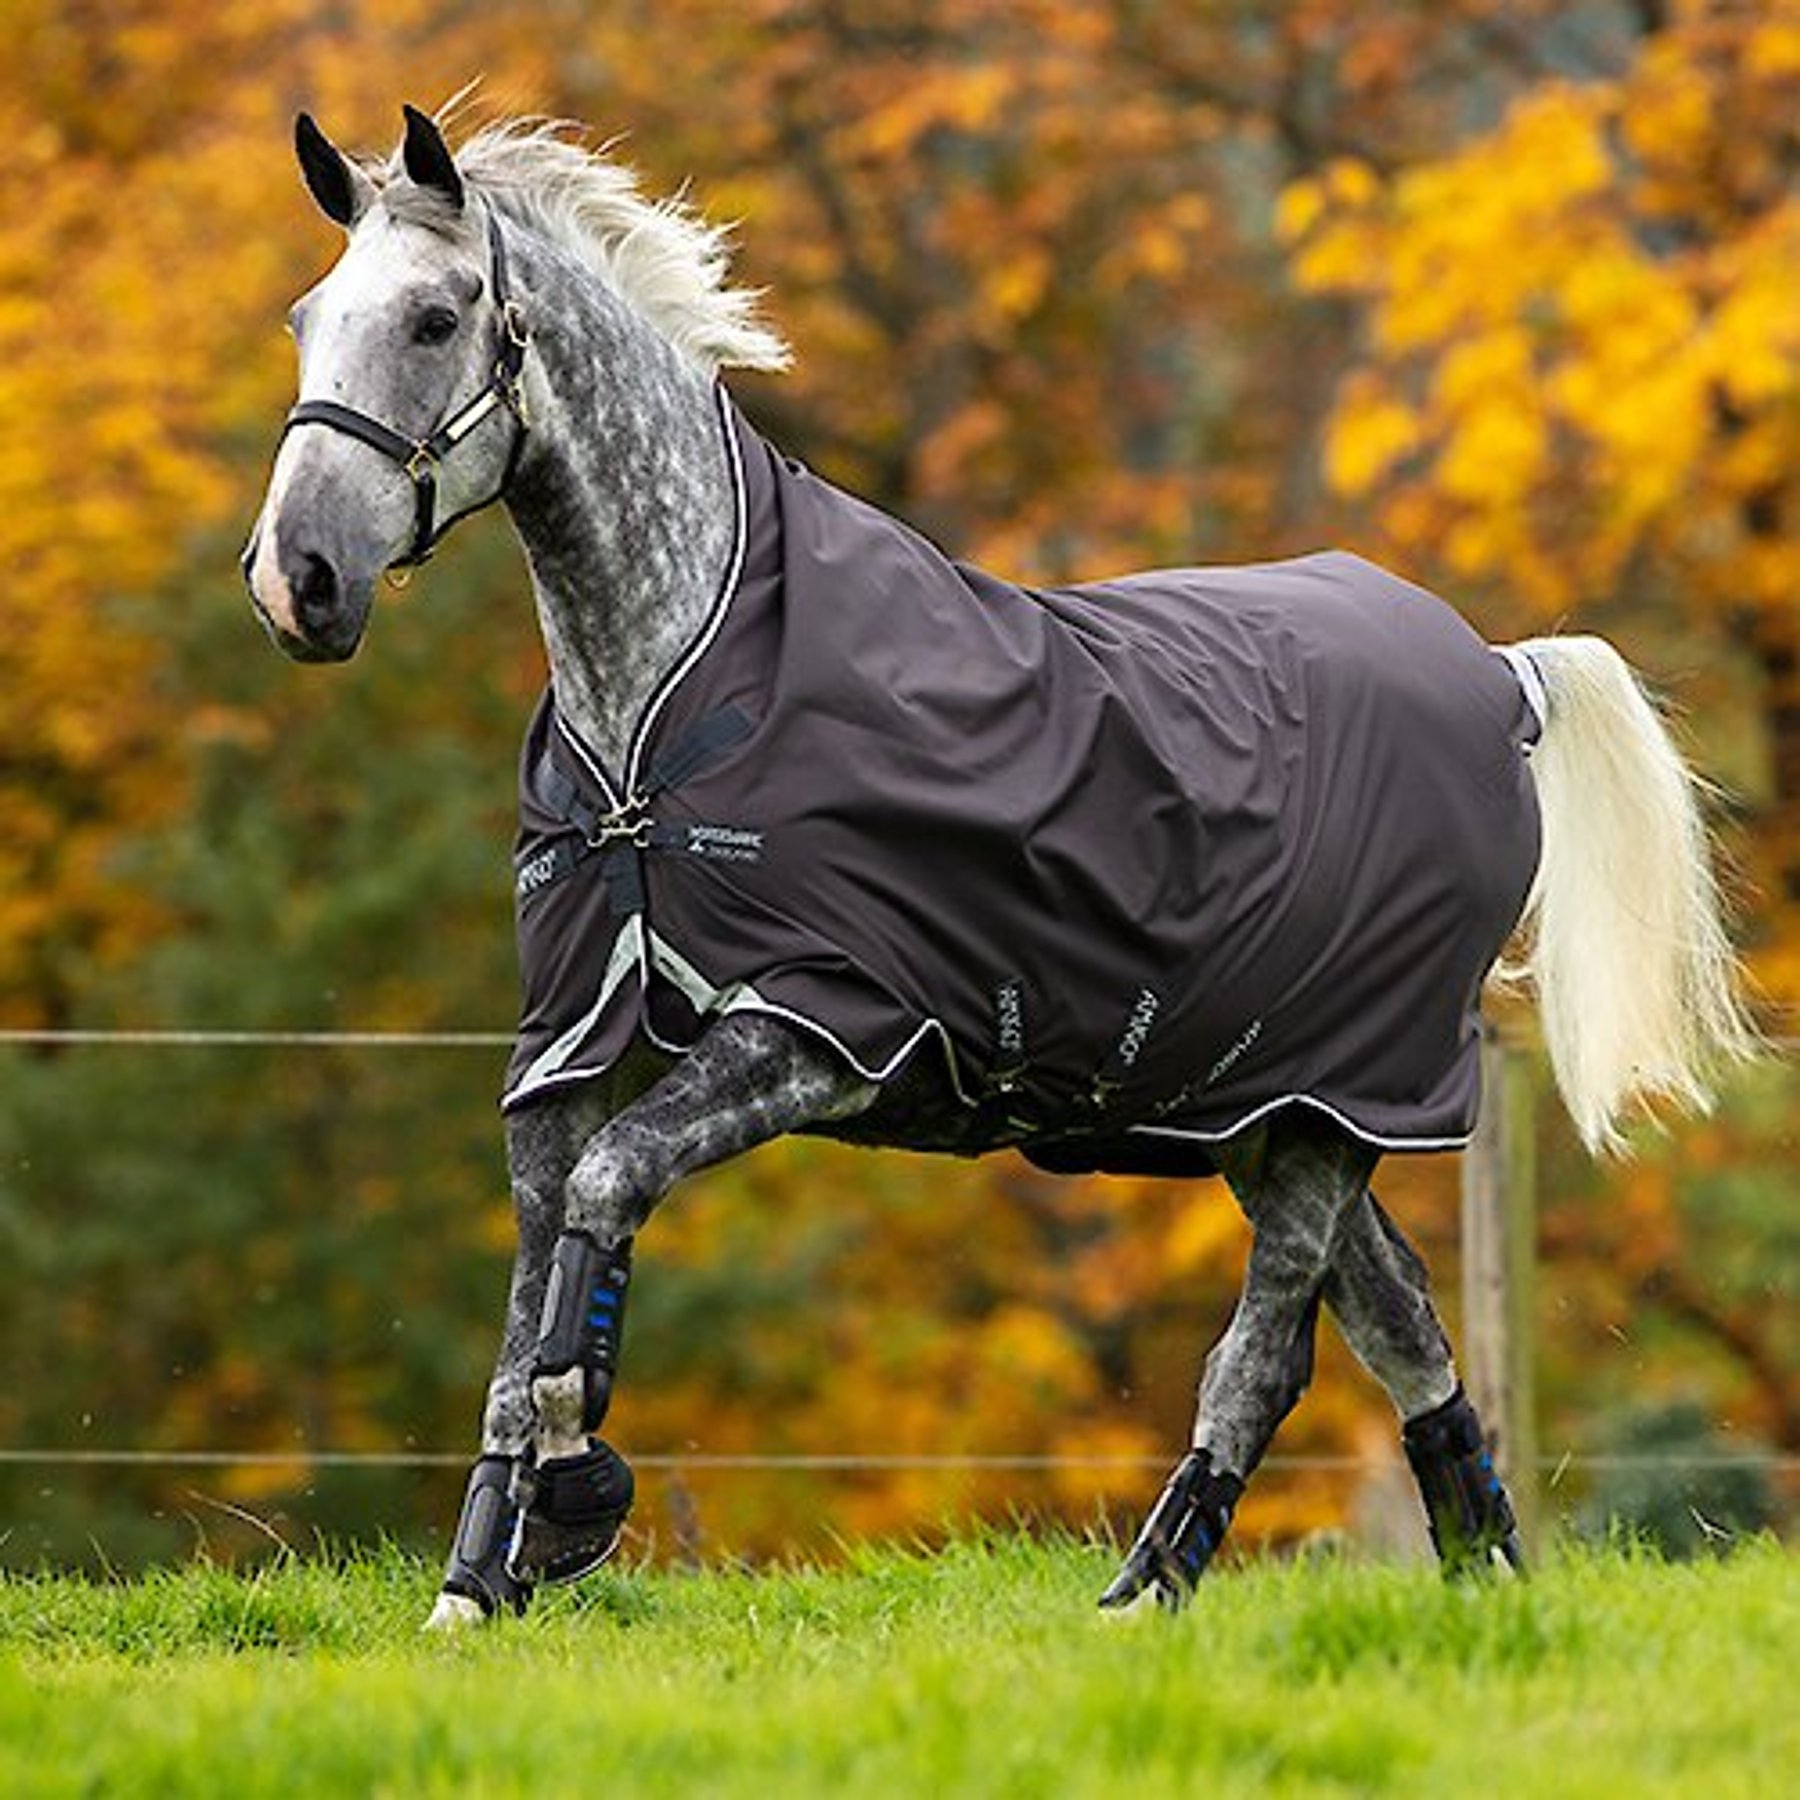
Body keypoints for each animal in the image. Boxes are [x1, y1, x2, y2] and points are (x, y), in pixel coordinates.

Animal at [242, 106, 1755, 1629]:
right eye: (308, 317)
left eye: (437, 318)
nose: (295, 580)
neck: (669, 716)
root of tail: (1498, 674)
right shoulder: (564, 1049)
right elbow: (521, 1318)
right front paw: (477, 1588)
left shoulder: (818, 1029)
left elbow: (603, 1210)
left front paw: (573, 1505)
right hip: (1267, 1108)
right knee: (1401, 1321)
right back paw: (1479, 1571)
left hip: (1342, 1099)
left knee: (1266, 1357)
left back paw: (1149, 1590)